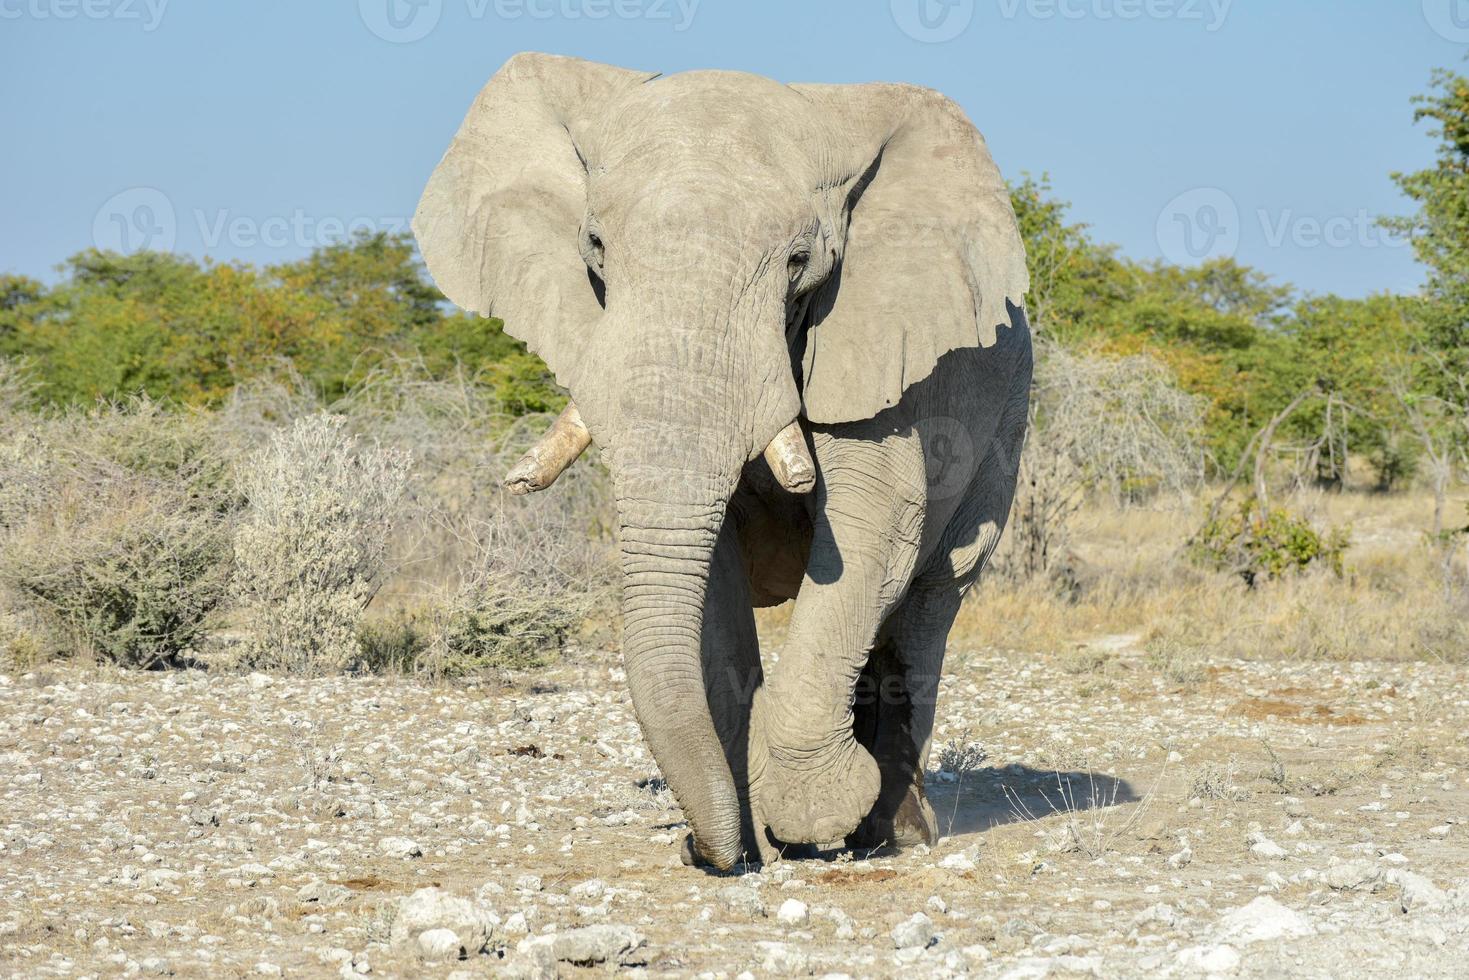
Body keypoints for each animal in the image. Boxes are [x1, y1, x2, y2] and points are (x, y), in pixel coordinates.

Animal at [414, 53, 1034, 869]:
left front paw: (809, 819)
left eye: (800, 262)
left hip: (1008, 421)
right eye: (595, 247)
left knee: (928, 601)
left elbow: (874, 525)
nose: (696, 850)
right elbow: (708, 572)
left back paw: (896, 834)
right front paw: (746, 843)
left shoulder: (879, 341)